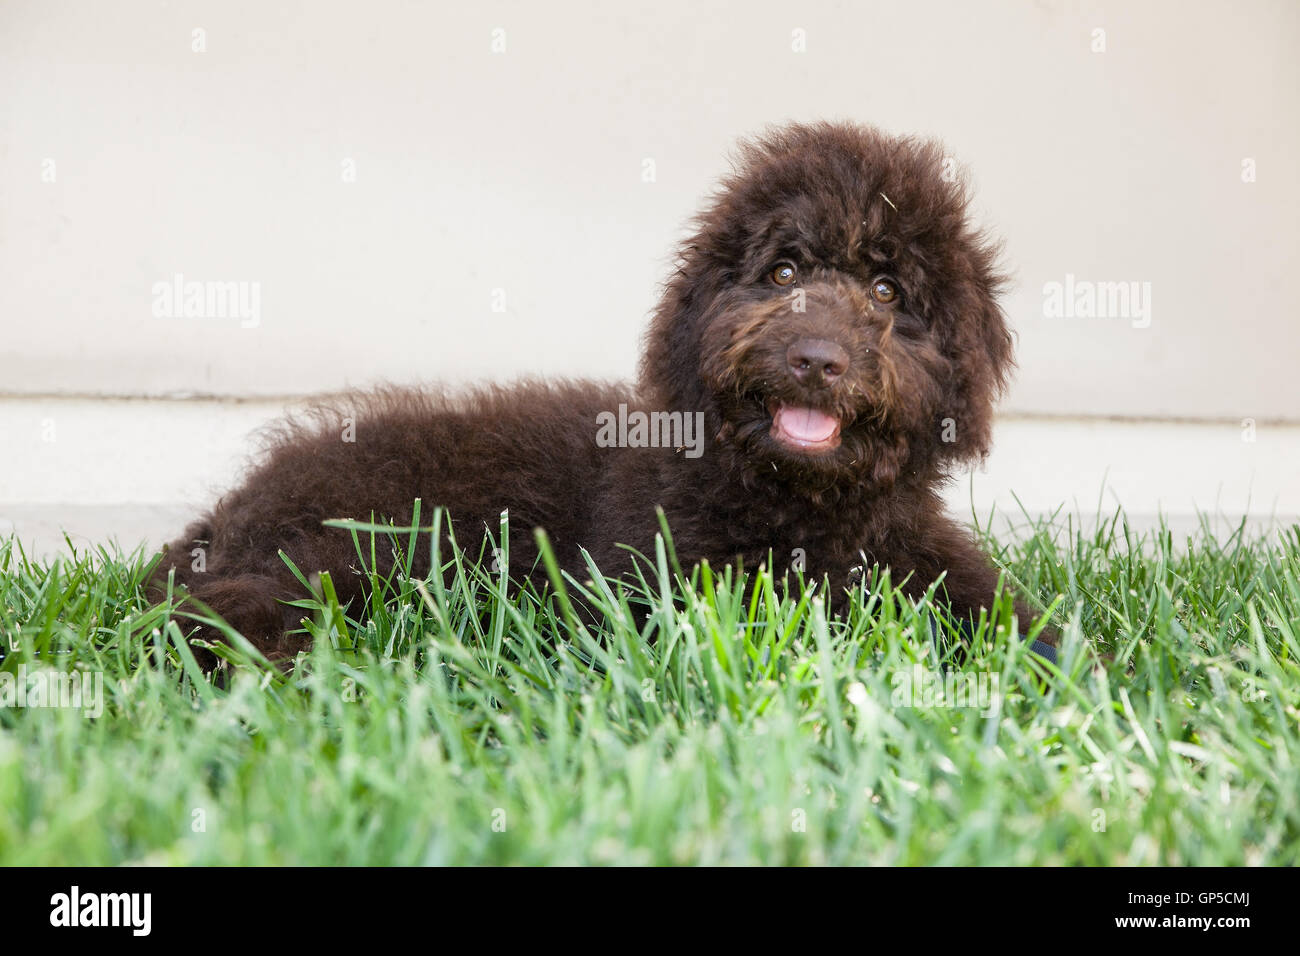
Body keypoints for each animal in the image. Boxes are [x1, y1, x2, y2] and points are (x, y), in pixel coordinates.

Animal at [149, 121, 1055, 665]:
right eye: (784, 273)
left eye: (887, 291)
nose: (815, 358)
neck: (796, 506)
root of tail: (227, 515)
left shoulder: (922, 556)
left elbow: (1011, 616)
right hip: (351, 549)